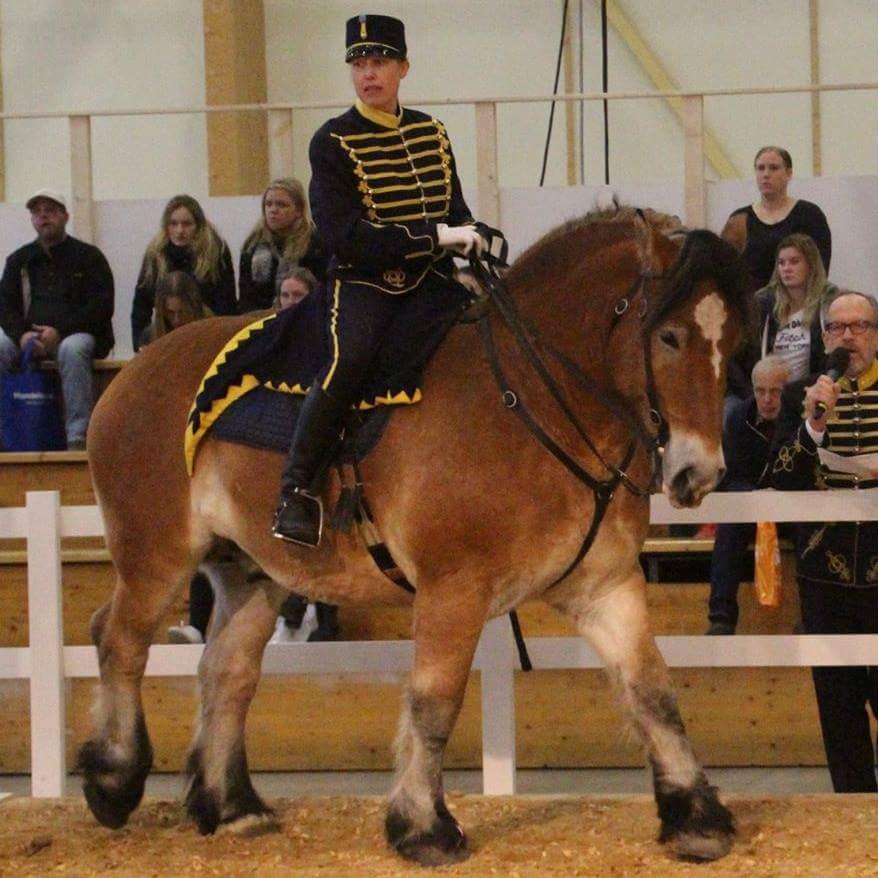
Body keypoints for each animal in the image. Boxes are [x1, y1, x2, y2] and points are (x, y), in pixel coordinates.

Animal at [78, 209, 748, 866]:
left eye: (736, 340)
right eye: (669, 337)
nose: (700, 473)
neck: (528, 403)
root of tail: (131, 374)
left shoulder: (605, 586)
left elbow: (653, 691)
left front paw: (696, 817)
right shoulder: (454, 591)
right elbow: (434, 701)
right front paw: (424, 826)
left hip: (252, 573)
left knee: (226, 672)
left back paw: (232, 806)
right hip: (156, 558)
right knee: (118, 641)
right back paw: (112, 780)